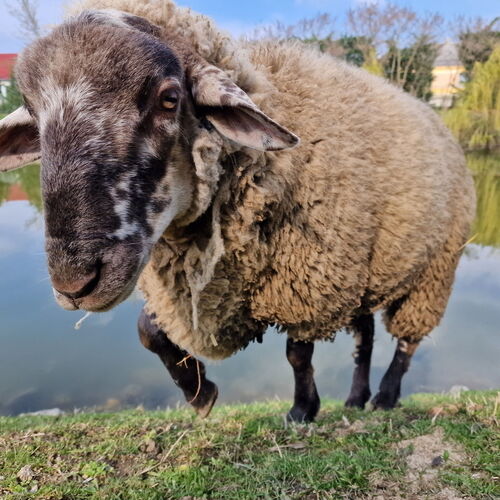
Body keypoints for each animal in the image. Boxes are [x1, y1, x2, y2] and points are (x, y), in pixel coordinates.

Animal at [0, 0, 476, 421]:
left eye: (169, 98)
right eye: (35, 116)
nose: (74, 282)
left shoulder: (303, 285)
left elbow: (297, 354)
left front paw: (302, 410)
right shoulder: (193, 288)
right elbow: (148, 331)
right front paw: (200, 395)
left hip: (433, 271)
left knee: (406, 343)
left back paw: (386, 397)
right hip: (367, 275)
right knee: (366, 340)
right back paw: (357, 398)